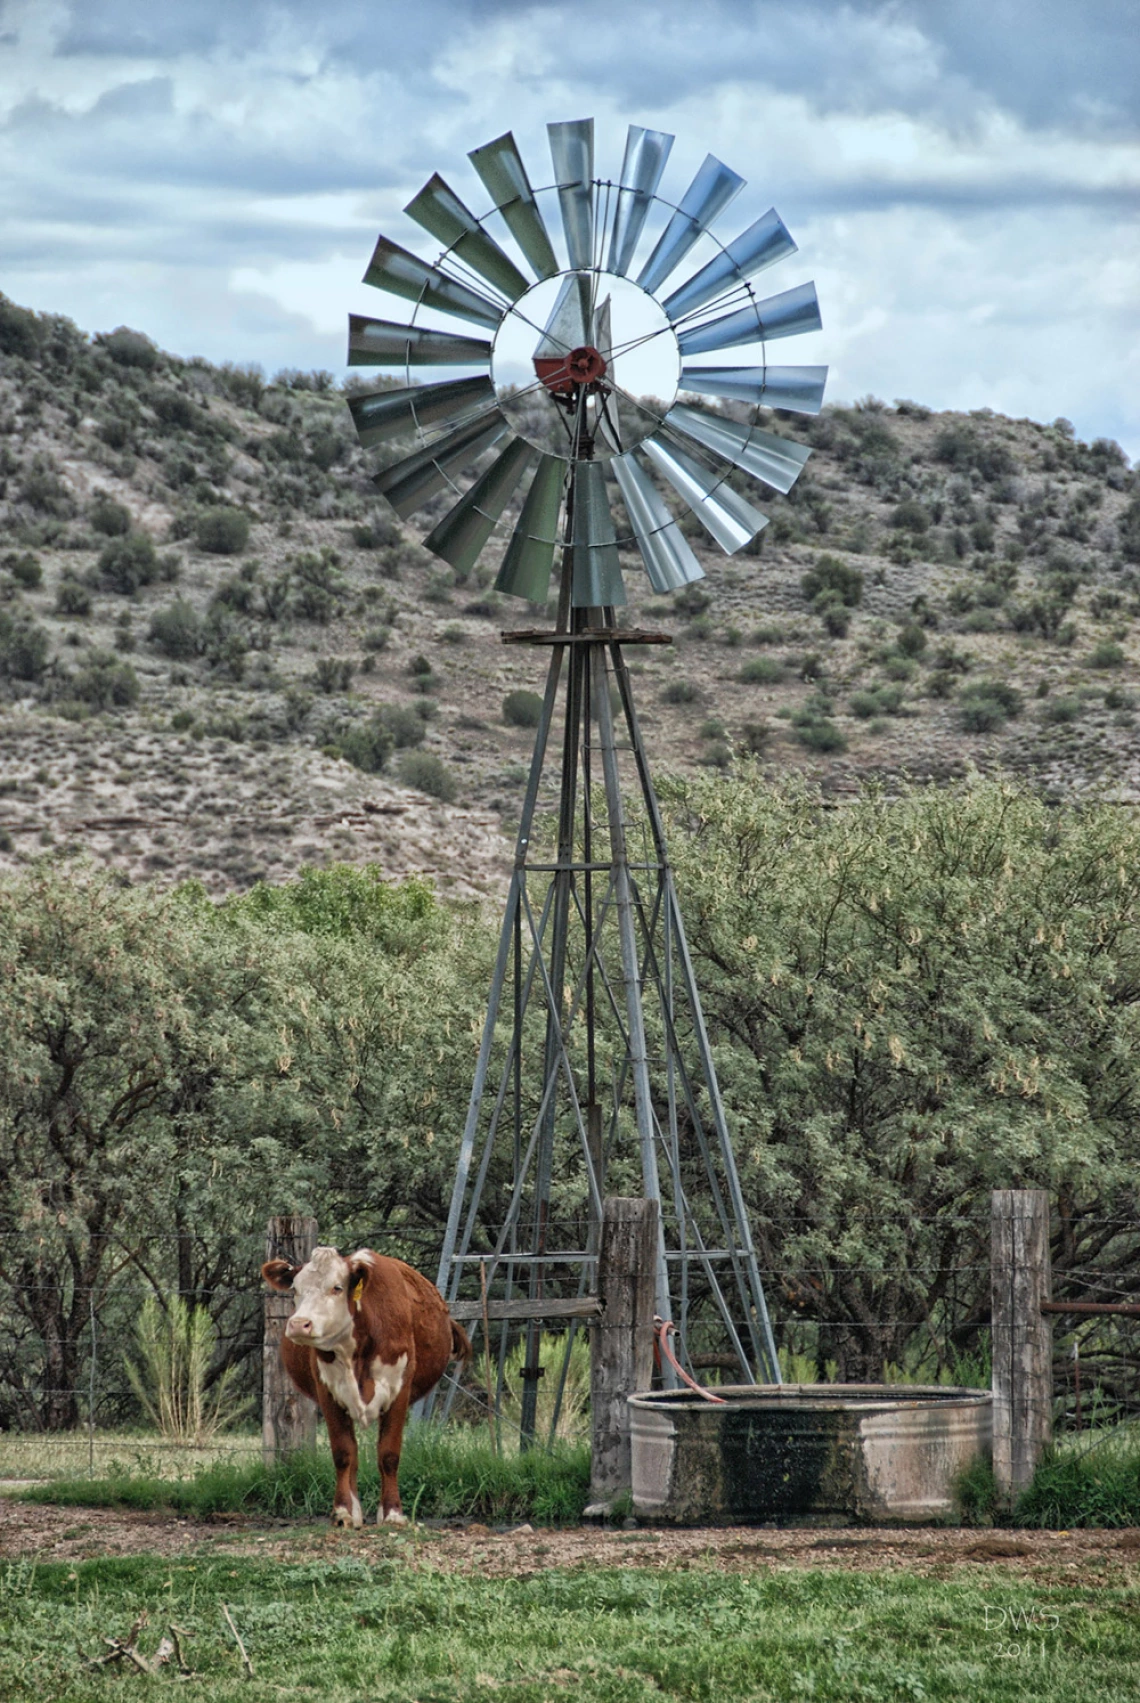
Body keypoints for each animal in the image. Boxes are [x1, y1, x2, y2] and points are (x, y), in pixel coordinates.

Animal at [260, 1239, 470, 1532]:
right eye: (296, 1289)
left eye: (337, 1287)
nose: (299, 1324)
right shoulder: (328, 1392)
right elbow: (343, 1453)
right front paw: (343, 1512)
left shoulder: (399, 1391)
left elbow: (389, 1455)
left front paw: (392, 1513)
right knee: (353, 1455)